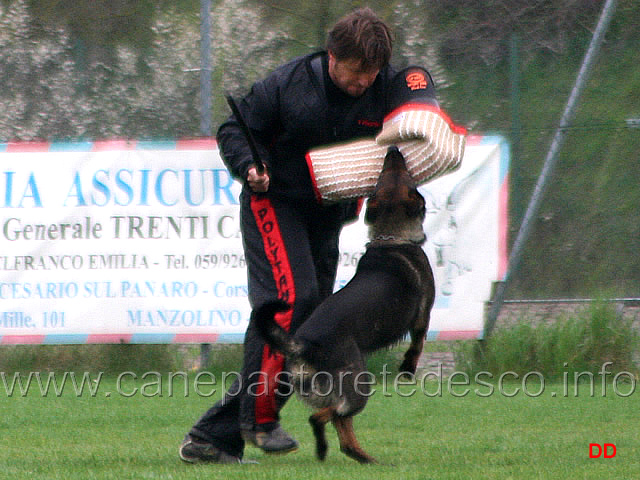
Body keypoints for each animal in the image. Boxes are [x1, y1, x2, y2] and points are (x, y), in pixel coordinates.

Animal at [255, 145, 436, 462]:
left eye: (383, 176)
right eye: (404, 176)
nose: (393, 149)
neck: (391, 238)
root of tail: (303, 344)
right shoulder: (422, 317)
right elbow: (416, 346)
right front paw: (408, 369)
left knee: (341, 425)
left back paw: (358, 456)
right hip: (359, 384)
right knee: (330, 415)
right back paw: (337, 448)